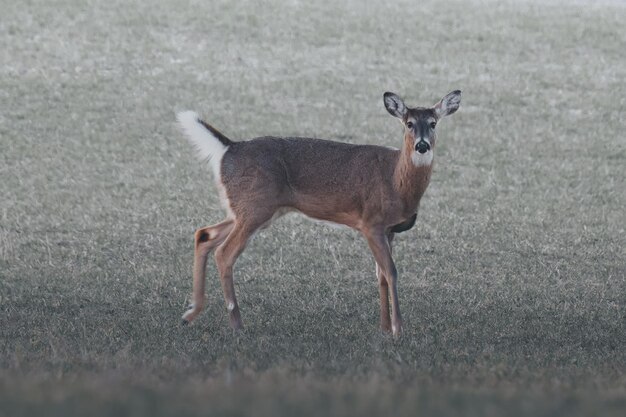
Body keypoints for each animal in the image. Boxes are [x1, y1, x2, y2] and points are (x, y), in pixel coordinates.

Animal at [176, 90, 458, 334]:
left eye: (433, 123)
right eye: (409, 123)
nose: (422, 146)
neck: (395, 180)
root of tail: (229, 148)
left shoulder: (390, 230)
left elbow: (380, 275)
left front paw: (384, 327)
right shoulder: (371, 222)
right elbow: (391, 271)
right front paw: (399, 328)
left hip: (249, 209)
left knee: (204, 234)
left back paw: (190, 313)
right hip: (255, 207)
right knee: (224, 253)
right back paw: (236, 323)